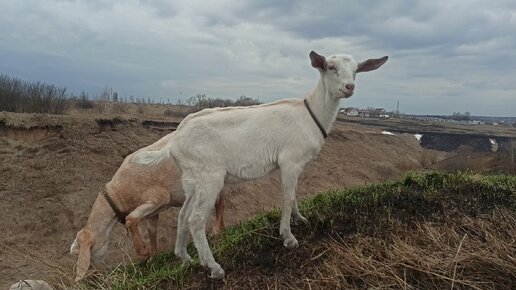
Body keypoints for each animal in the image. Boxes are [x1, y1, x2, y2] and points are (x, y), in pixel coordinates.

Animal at [69, 133, 225, 282]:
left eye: (82, 254)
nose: (93, 277)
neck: (118, 193)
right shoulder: (153, 212)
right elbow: (152, 231)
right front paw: (153, 257)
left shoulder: (159, 198)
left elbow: (130, 219)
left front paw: (144, 254)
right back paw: (222, 229)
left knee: (220, 202)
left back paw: (217, 230)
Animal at [137, 51, 388, 278]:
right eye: (331, 67)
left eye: (356, 70)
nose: (349, 87)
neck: (311, 114)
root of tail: (176, 138)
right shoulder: (290, 161)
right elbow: (287, 198)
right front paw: (288, 238)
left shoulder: (293, 166)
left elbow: (294, 194)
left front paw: (300, 219)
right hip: (209, 176)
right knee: (196, 219)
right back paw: (214, 267)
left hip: (192, 179)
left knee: (183, 215)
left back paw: (185, 258)